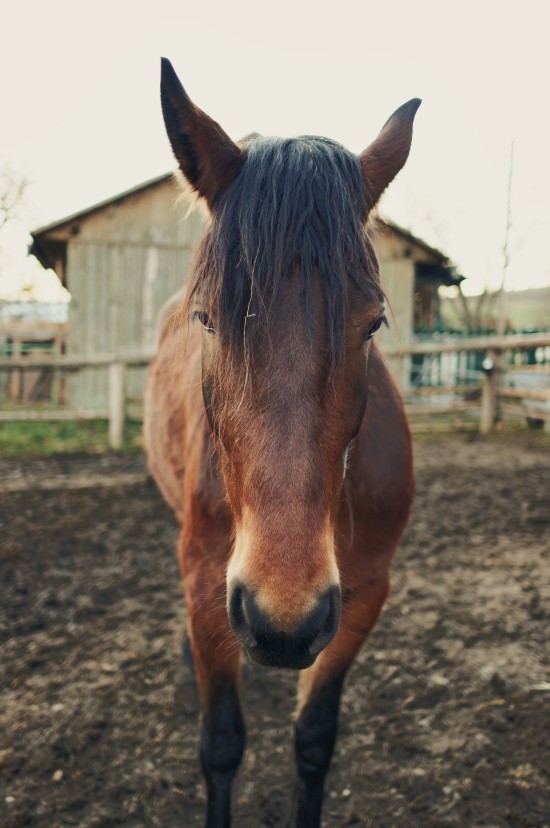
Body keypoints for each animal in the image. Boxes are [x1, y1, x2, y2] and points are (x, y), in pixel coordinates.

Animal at [146, 59, 418, 828]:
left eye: (373, 323)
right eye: (208, 319)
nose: (283, 621)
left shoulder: (364, 591)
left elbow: (314, 740)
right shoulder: (208, 584)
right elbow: (221, 746)